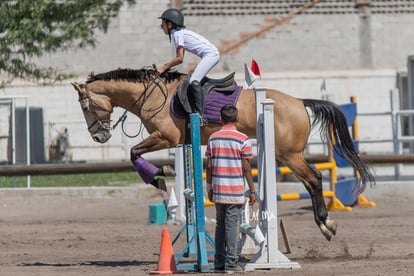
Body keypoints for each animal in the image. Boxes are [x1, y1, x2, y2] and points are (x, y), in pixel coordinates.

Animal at [71, 67, 376, 242]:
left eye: (86, 106)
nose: (99, 137)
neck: (152, 96)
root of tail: (299, 102)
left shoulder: (166, 138)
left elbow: (135, 153)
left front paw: (159, 176)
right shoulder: (175, 141)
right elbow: (136, 153)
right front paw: (161, 174)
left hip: (288, 155)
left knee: (313, 180)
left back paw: (326, 224)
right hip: (286, 155)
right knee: (312, 181)